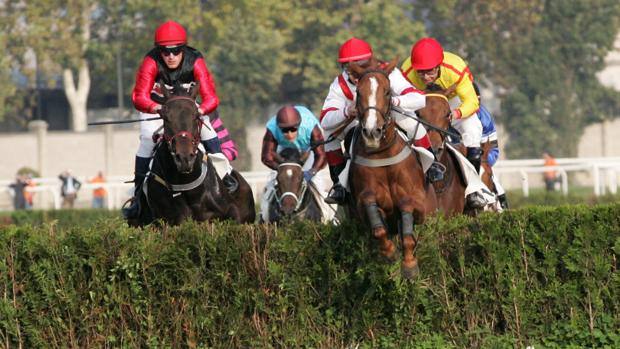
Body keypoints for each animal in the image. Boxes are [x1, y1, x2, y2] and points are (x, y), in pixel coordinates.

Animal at [128, 84, 254, 226]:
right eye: (166, 117)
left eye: (196, 116)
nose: (184, 158)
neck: (188, 186)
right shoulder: (169, 220)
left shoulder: (228, 210)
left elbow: (233, 216)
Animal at [346, 58, 438, 278]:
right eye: (358, 92)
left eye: (388, 92)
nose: (372, 131)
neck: (383, 154)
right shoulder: (364, 199)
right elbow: (377, 225)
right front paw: (389, 253)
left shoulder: (417, 202)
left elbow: (406, 216)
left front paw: (410, 265)